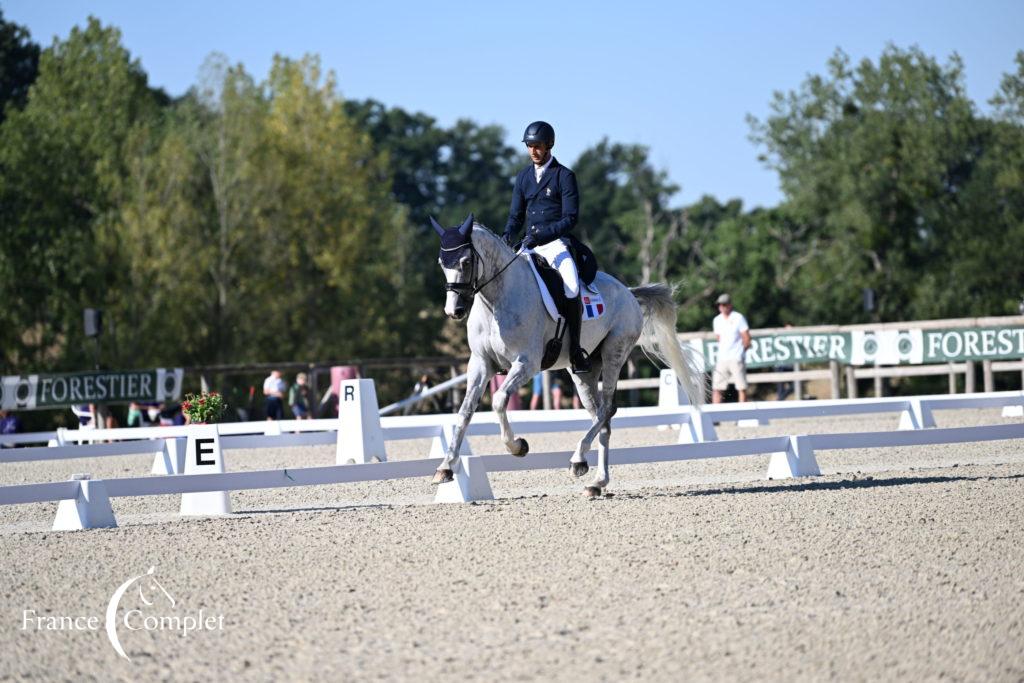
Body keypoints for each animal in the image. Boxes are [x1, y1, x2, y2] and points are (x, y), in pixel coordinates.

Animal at [430, 214, 704, 497]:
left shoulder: (526, 363)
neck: (496, 300)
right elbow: (464, 412)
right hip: (584, 372)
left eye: (466, 261)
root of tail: (628, 291)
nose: (454, 311)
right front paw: (445, 467)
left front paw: (518, 446)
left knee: (607, 409)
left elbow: (498, 400)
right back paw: (596, 481)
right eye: (442, 263)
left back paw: (578, 459)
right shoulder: (481, 364)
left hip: (615, 352)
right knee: (601, 417)